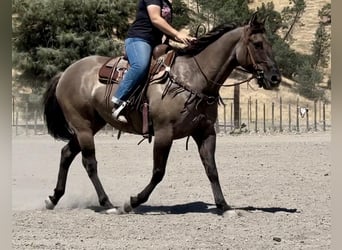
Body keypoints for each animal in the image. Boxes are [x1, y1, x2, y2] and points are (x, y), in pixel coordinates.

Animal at [42, 12, 280, 214]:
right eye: (257, 44)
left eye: (270, 44)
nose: (275, 78)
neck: (192, 77)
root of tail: (66, 73)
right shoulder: (165, 133)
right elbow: (158, 172)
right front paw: (132, 202)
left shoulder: (205, 132)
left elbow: (211, 169)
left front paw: (224, 206)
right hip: (82, 126)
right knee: (89, 163)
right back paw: (108, 204)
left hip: (92, 124)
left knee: (66, 153)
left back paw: (53, 199)